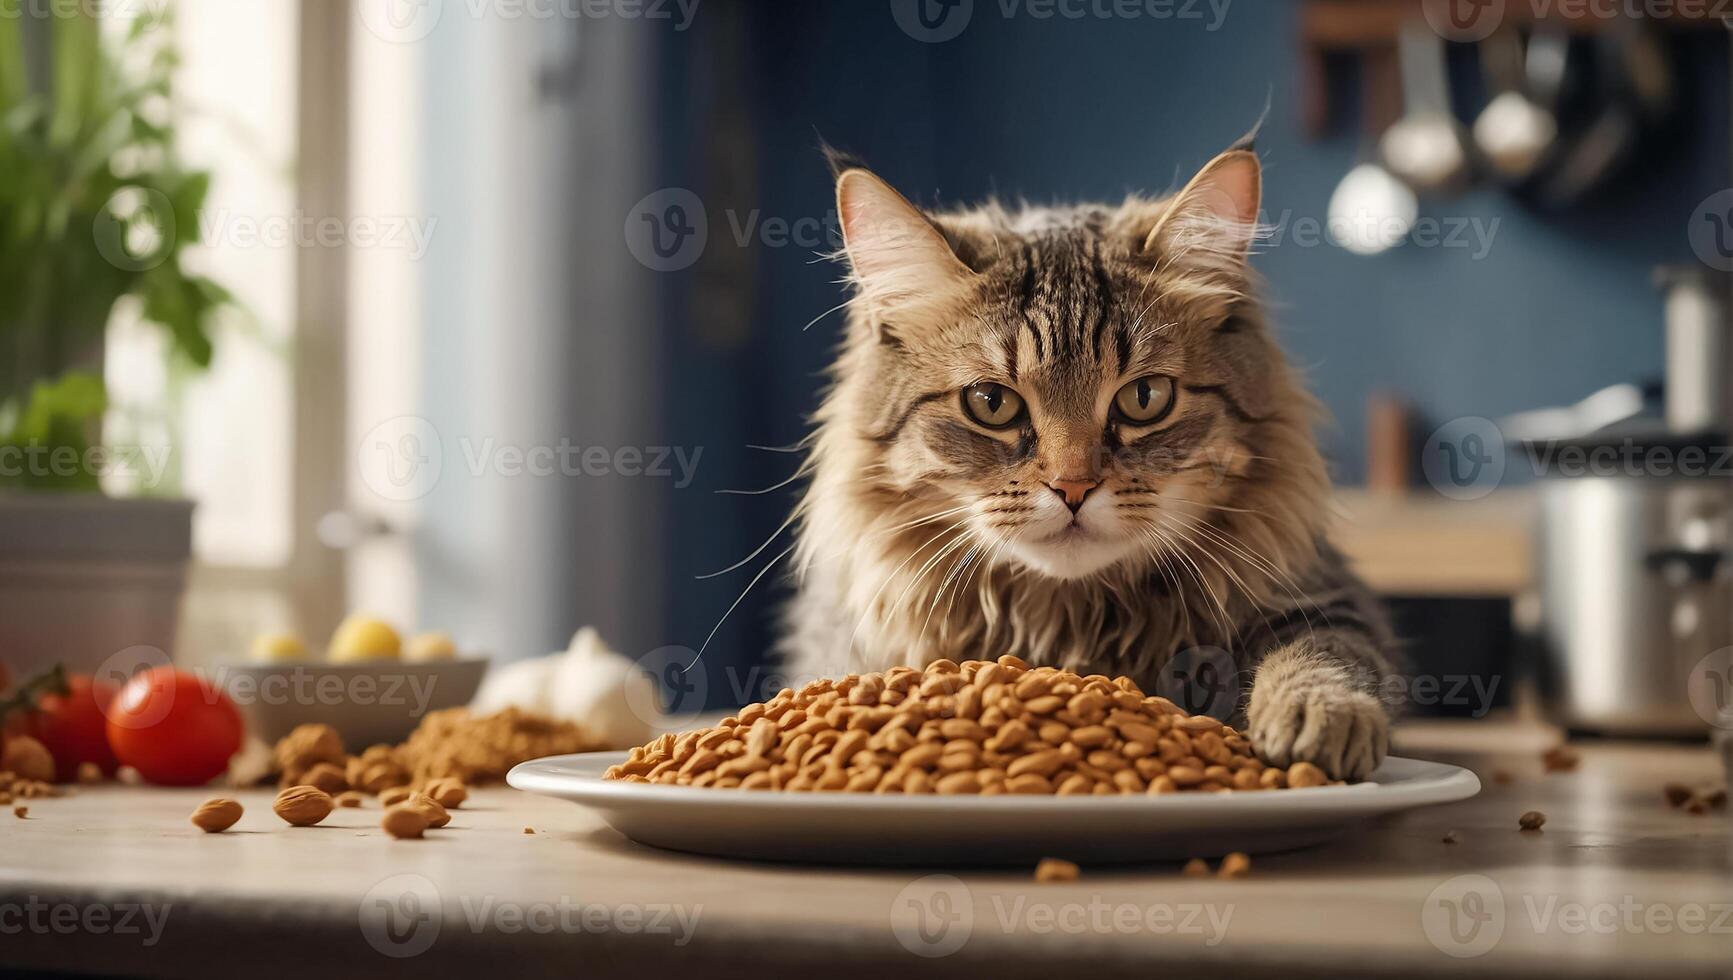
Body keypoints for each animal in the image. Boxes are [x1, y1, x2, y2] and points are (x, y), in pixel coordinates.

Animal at [783, 139, 1393, 780]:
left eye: (1145, 398)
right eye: (991, 403)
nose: (1073, 487)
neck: (1068, 623)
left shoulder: (1328, 598)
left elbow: (1326, 651)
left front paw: (1316, 718)